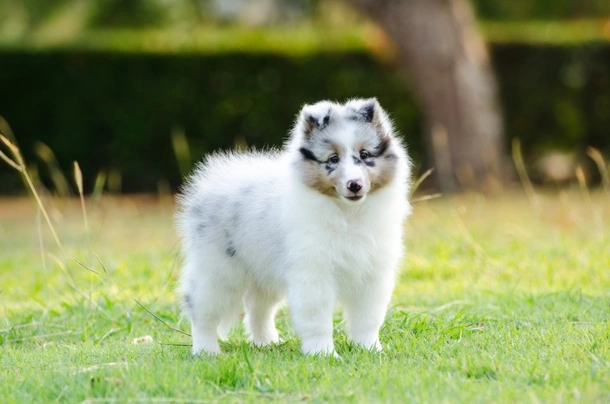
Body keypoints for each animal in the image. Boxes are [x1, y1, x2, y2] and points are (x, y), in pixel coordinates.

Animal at [178, 97, 410, 354]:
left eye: (365, 154)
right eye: (333, 159)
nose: (355, 185)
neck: (348, 213)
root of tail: (213, 182)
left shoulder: (372, 274)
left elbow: (368, 318)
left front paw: (369, 349)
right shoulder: (312, 272)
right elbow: (317, 318)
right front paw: (323, 353)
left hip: (264, 273)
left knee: (258, 309)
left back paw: (267, 343)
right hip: (218, 271)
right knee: (201, 310)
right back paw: (206, 350)